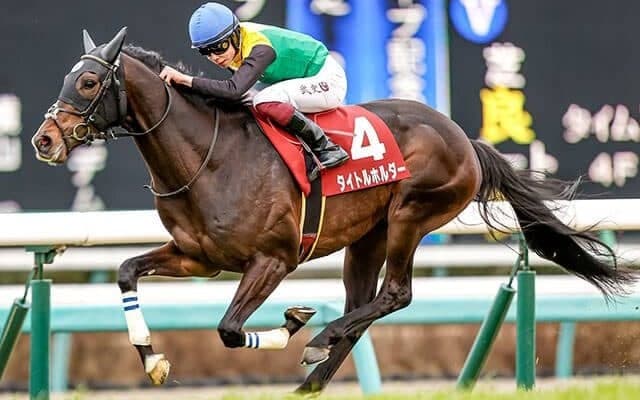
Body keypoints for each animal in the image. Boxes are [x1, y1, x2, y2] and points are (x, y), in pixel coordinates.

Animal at [31, 27, 636, 393]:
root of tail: (464, 138)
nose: (43, 140)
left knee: (394, 295)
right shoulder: (197, 256)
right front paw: (152, 359)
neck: (208, 158)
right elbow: (125, 270)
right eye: (65, 77)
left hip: (411, 215)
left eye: (89, 80)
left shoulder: (273, 259)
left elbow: (228, 329)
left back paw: (317, 343)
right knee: (363, 306)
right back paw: (312, 380)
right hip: (366, 238)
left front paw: (294, 323)